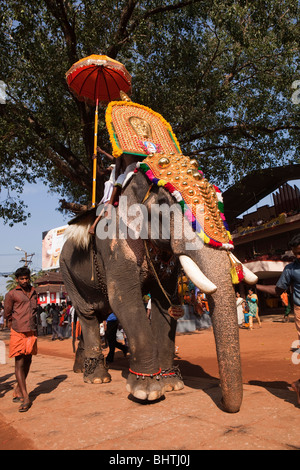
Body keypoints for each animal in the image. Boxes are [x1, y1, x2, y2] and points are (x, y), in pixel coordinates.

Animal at [59, 95, 256, 412]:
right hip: (66, 273)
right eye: (165, 205)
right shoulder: (115, 242)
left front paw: (173, 384)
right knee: (89, 314)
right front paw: (147, 392)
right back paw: (98, 378)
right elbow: (125, 299)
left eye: (220, 204)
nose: (229, 407)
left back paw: (83, 370)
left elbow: (167, 303)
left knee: (99, 312)